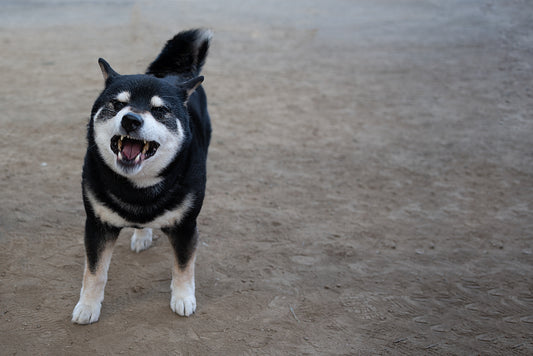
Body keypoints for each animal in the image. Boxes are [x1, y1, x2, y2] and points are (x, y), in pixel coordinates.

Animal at [72, 29, 212, 324]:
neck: (137, 188)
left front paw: (183, 298)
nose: (131, 120)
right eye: (118, 104)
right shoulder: (97, 225)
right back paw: (141, 234)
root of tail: (172, 73)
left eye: (160, 110)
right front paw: (88, 306)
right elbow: (95, 272)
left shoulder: (185, 226)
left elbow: (183, 266)